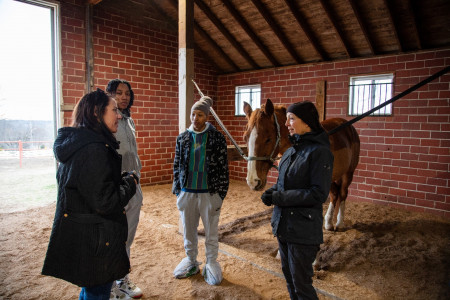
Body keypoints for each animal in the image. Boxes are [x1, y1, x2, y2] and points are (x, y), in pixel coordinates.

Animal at [244, 99, 360, 231]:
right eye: (245, 137)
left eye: (268, 139)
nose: (253, 181)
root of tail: (348, 127)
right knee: (335, 194)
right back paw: (329, 223)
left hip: (348, 173)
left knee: (343, 193)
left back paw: (339, 223)